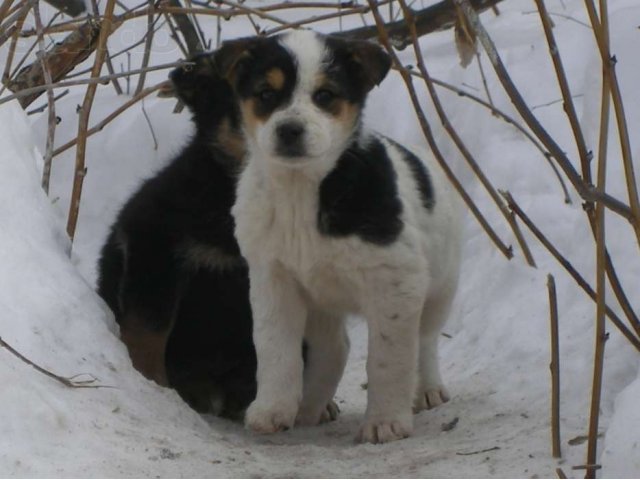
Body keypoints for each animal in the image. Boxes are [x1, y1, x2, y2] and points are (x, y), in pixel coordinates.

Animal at [218, 29, 462, 442]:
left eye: (325, 95)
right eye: (266, 94)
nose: (290, 130)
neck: (302, 192)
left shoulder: (397, 281)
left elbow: (388, 359)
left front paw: (386, 422)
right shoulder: (273, 278)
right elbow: (275, 351)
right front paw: (273, 410)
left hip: (440, 288)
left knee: (425, 341)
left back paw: (427, 390)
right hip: (321, 301)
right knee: (336, 347)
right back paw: (310, 407)